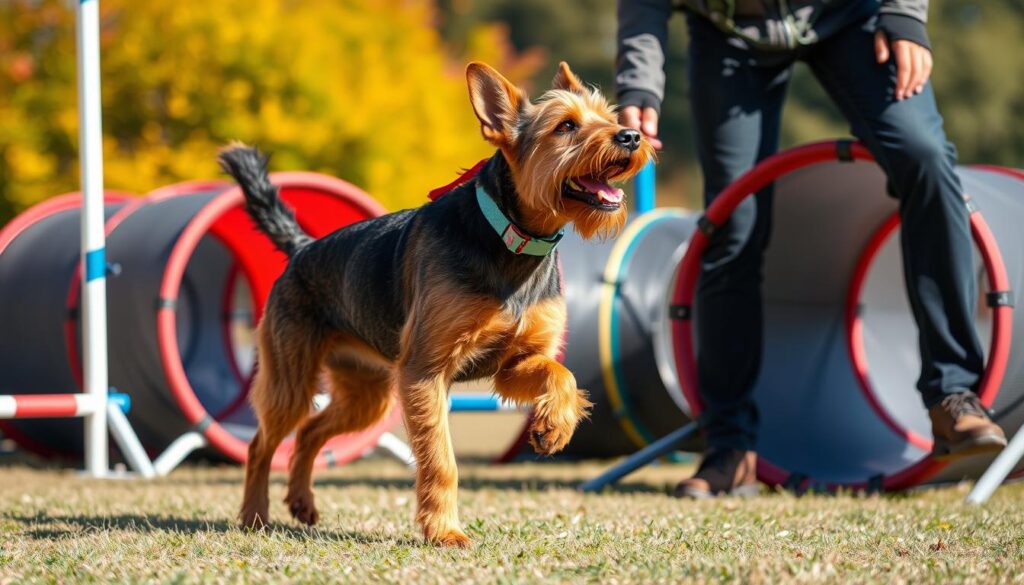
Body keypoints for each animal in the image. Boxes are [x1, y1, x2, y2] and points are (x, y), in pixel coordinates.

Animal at [219, 61, 655, 549]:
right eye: (565, 126)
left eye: (609, 116)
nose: (632, 136)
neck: (512, 241)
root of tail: (301, 248)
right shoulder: (425, 371)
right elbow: (441, 460)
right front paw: (445, 531)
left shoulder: (514, 364)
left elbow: (562, 375)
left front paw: (553, 426)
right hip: (290, 381)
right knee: (261, 444)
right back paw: (255, 514)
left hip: (366, 395)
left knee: (311, 431)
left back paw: (301, 501)